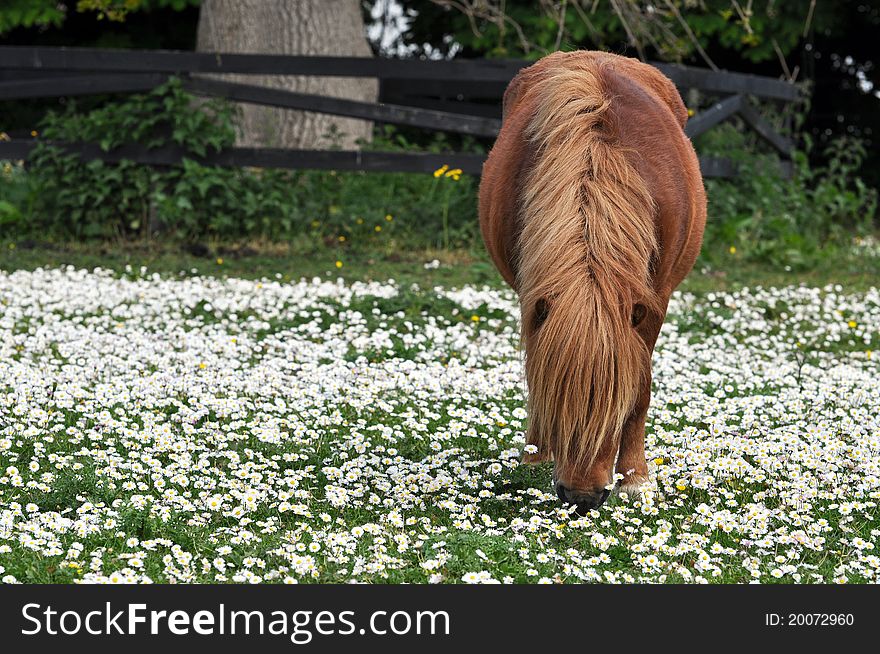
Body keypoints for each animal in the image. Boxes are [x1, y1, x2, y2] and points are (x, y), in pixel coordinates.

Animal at [482, 50, 708, 512]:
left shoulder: (651, 303)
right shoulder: (534, 297)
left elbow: (641, 389)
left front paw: (635, 478)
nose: (582, 497)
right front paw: (536, 456)